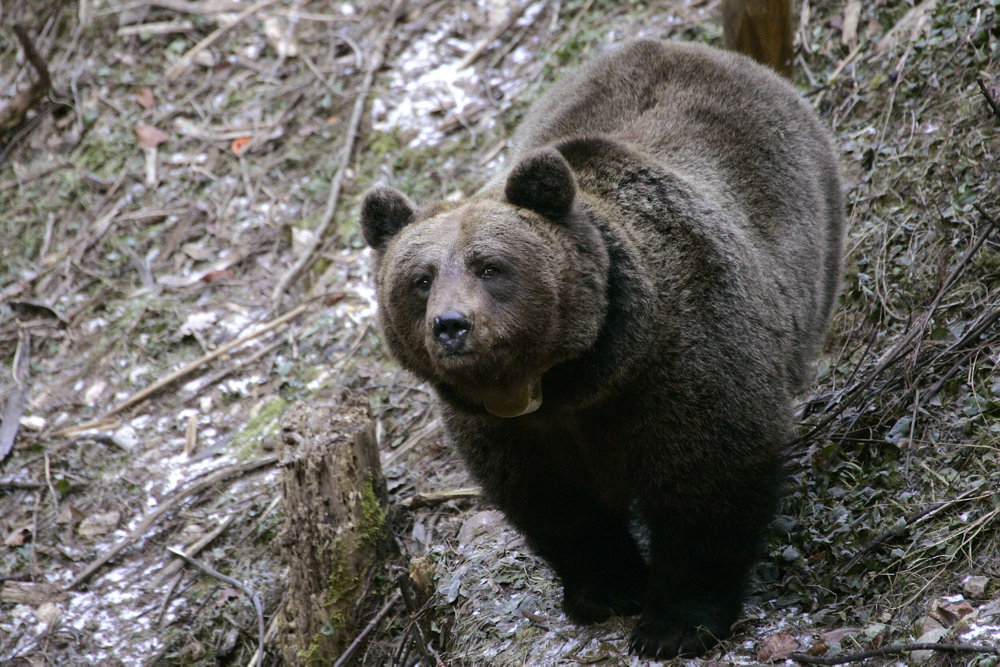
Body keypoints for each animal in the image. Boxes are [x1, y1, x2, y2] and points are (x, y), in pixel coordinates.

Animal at [360, 39, 844, 660]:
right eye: (420, 279)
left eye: (490, 266)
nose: (451, 325)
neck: (573, 379)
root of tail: (698, 49)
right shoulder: (510, 432)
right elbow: (558, 506)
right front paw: (608, 590)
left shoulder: (685, 364)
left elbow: (708, 482)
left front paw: (675, 623)